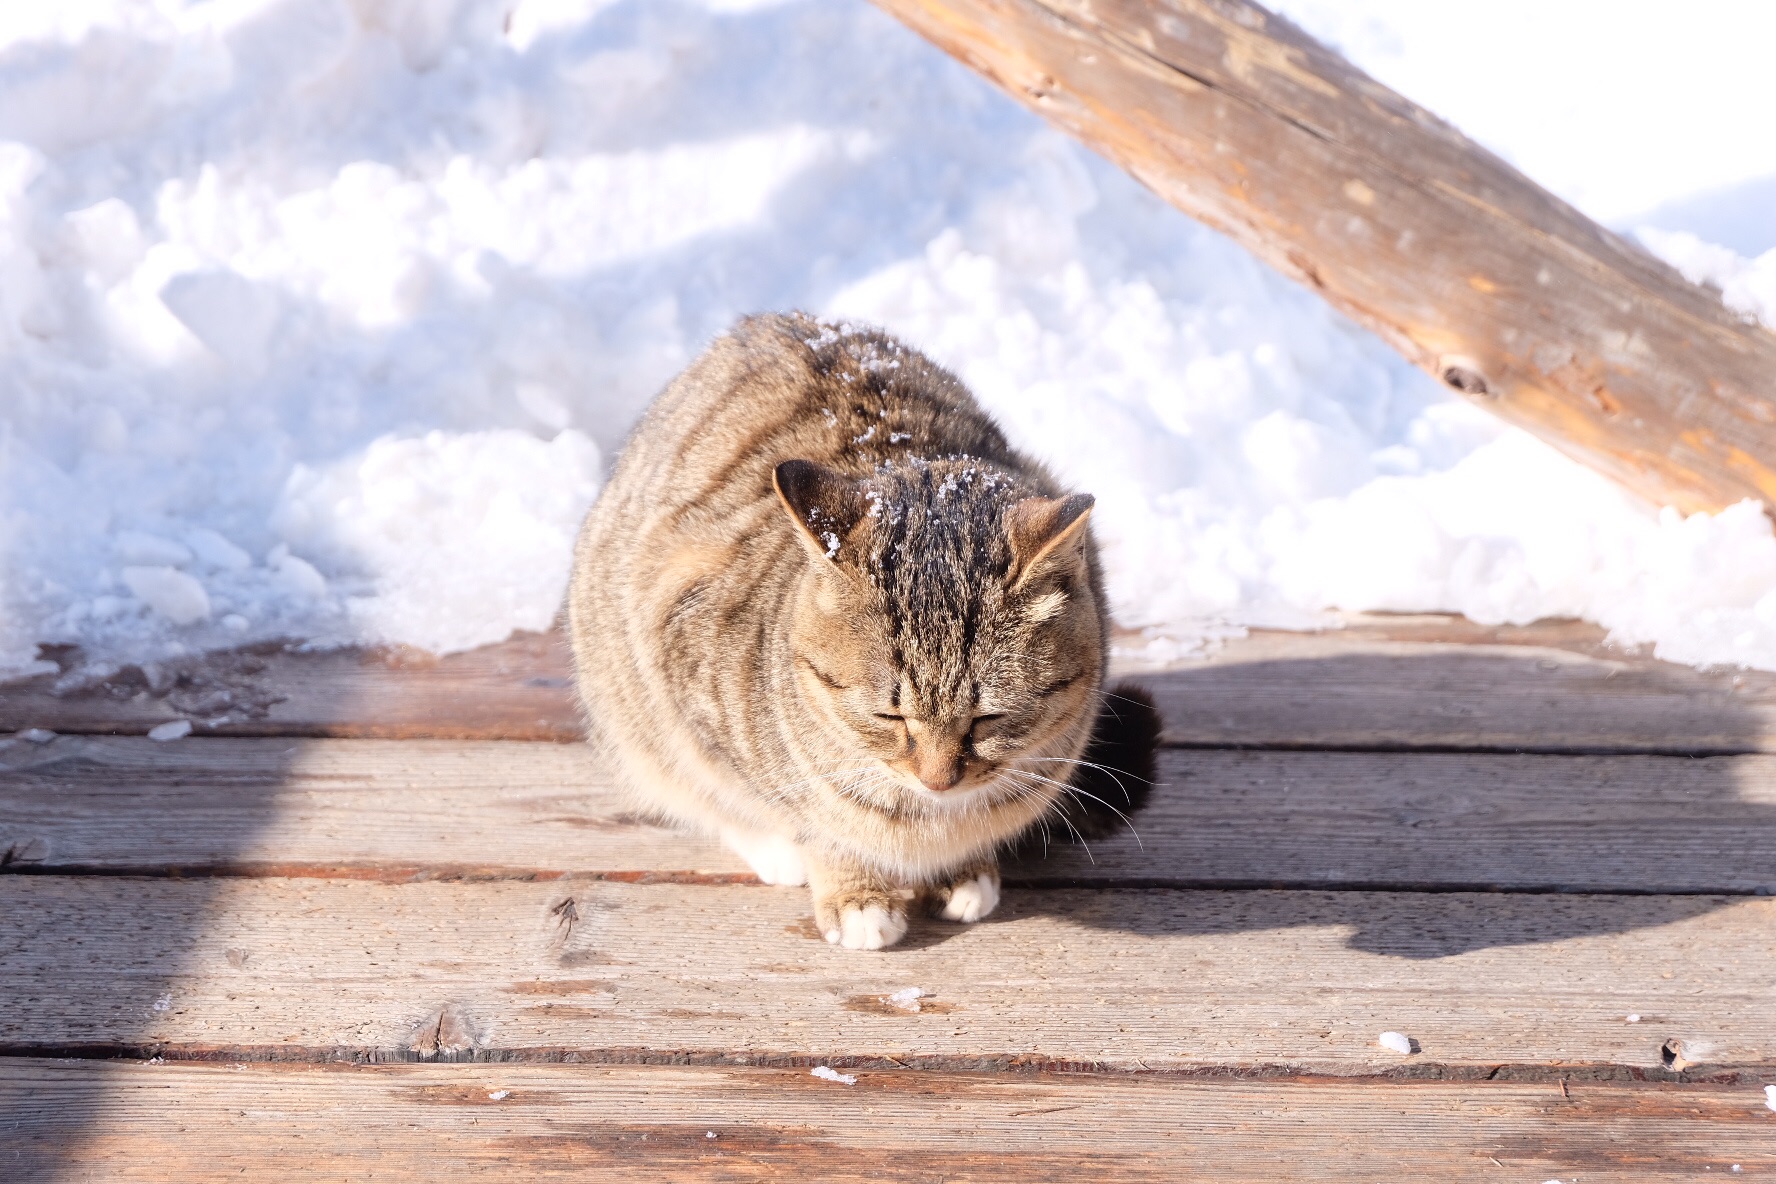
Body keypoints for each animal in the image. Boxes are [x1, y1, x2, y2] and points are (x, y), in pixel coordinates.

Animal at [561, 310, 1157, 951]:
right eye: (888, 716)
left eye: (988, 718)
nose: (938, 781)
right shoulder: (681, 661)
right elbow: (803, 816)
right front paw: (855, 893)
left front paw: (963, 871)